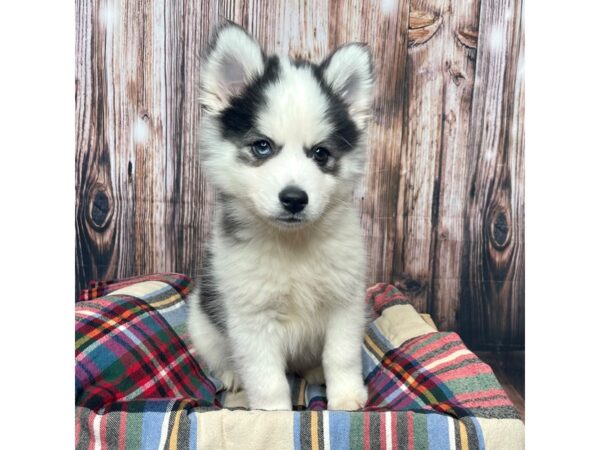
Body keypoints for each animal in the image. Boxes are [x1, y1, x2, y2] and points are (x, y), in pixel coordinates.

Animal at [188, 24, 376, 412]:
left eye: (321, 154)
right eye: (262, 146)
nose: (294, 199)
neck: (293, 244)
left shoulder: (345, 303)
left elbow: (341, 355)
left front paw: (346, 396)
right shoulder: (251, 318)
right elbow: (266, 376)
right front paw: (272, 414)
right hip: (201, 321)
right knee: (219, 356)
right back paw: (232, 377)